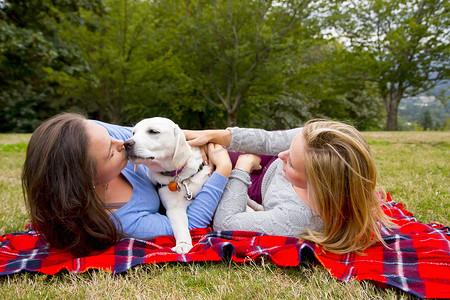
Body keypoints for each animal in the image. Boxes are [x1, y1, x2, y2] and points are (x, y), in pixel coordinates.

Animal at [125, 117, 211, 253]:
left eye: (153, 131)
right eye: (134, 133)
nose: (126, 144)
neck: (180, 176)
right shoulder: (174, 208)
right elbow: (181, 227)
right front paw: (183, 243)